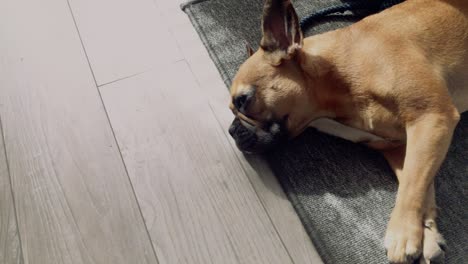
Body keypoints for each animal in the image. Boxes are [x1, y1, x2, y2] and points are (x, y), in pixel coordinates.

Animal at [228, 1, 468, 262]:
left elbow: (412, 186)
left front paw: (402, 235)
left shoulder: (431, 117)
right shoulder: (400, 144)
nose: (232, 130)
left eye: (243, 100)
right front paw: (427, 236)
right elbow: (417, 184)